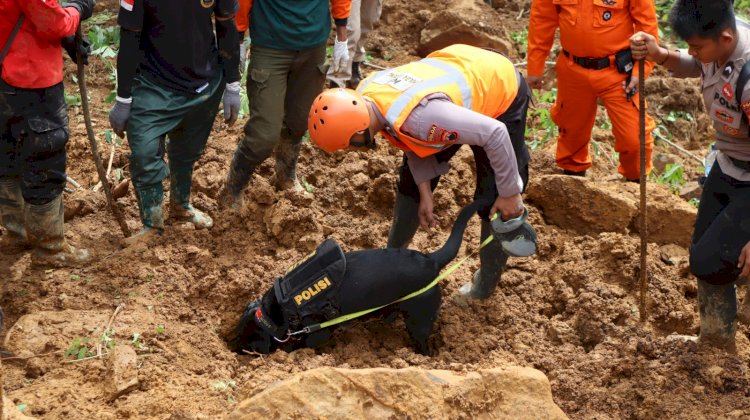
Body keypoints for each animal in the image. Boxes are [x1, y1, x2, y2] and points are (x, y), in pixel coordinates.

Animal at [229, 199, 488, 352]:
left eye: (247, 341)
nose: (231, 348)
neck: (278, 310)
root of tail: (431, 260)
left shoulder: (317, 333)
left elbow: (304, 345)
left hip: (420, 319)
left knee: (424, 343)